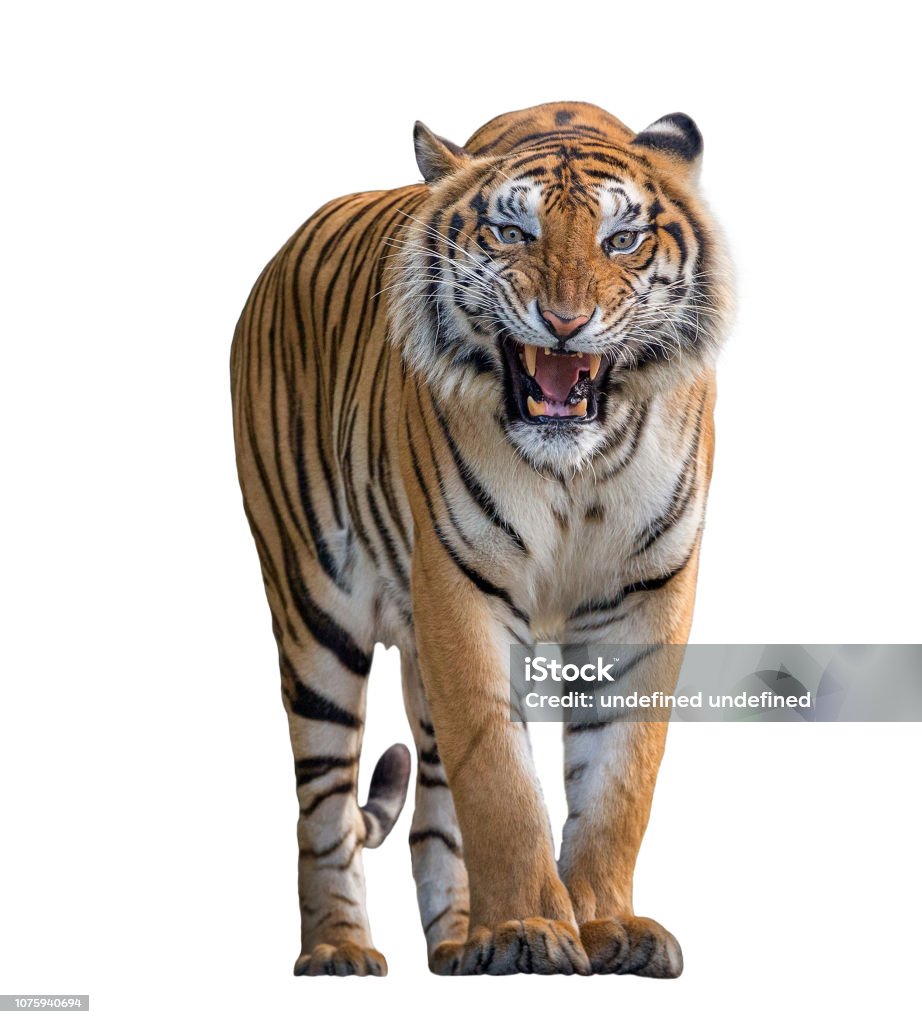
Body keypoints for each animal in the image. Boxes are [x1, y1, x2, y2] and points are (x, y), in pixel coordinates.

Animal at [230, 100, 731, 977]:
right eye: (511, 233)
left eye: (621, 241)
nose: (565, 323)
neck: (578, 470)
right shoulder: (461, 587)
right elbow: (499, 781)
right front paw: (528, 928)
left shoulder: (644, 595)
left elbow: (617, 781)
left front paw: (607, 925)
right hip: (312, 610)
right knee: (322, 806)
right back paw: (339, 948)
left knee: (433, 812)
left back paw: (459, 943)